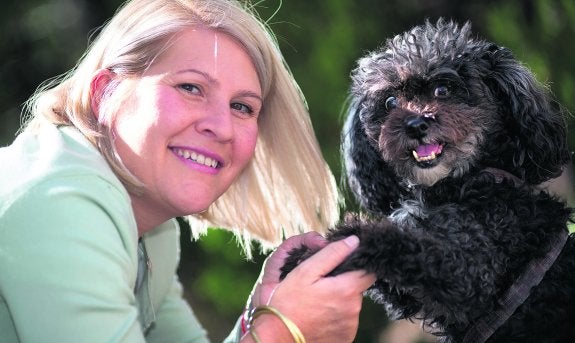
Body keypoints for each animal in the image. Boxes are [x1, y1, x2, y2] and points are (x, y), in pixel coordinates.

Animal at [282, 19, 575, 343]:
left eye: (443, 89)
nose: (415, 125)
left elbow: (403, 243)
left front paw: (345, 239)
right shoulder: (408, 293)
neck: (457, 185)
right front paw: (308, 255)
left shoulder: (472, 269)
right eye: (390, 101)